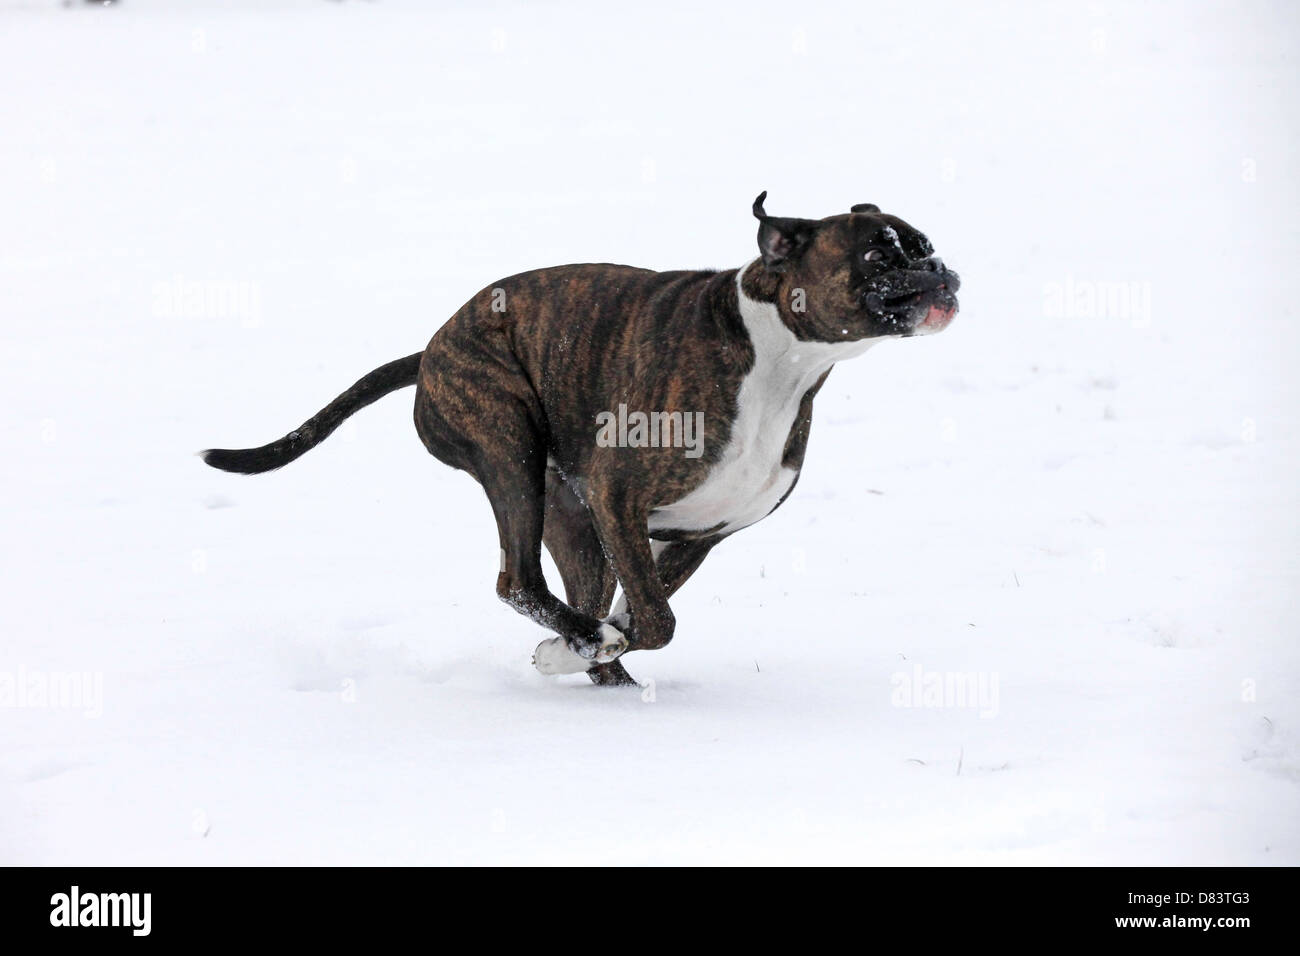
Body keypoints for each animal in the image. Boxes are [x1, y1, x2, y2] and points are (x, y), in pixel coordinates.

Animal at [200, 195, 956, 686]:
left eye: (924, 244)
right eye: (876, 253)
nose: (942, 270)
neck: (778, 357)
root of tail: (430, 349)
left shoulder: (694, 534)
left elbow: (646, 612)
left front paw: (580, 652)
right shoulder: (619, 497)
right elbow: (655, 620)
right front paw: (577, 649)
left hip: (571, 520)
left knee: (574, 595)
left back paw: (596, 664)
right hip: (506, 440)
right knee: (517, 580)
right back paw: (584, 645)